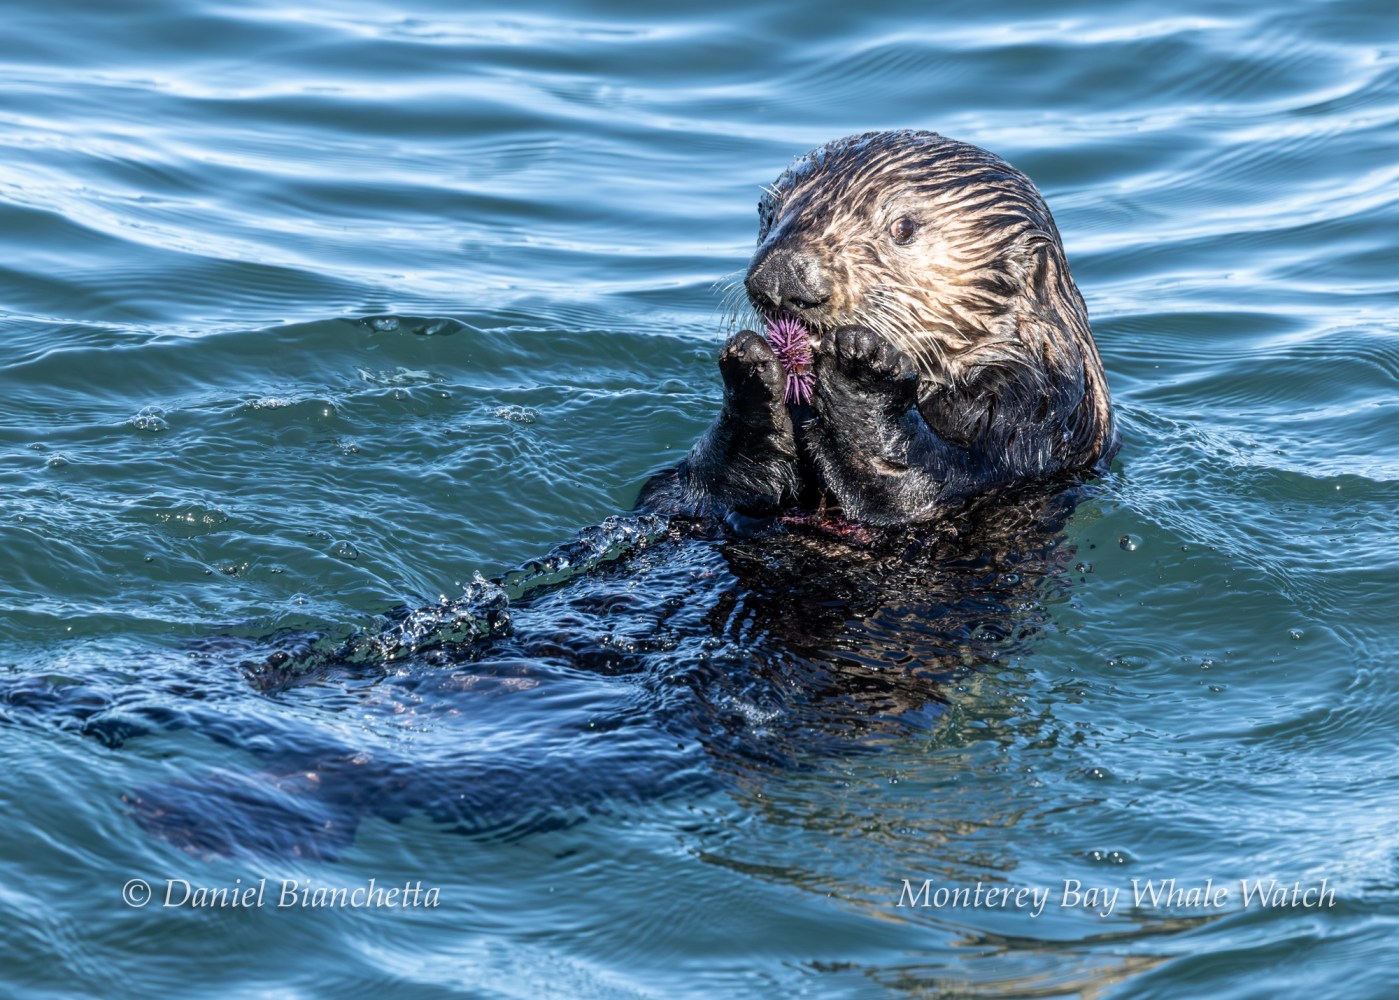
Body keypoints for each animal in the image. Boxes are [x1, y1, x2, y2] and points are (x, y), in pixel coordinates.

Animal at [639, 129, 1117, 527]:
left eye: (903, 227)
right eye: (770, 216)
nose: (779, 277)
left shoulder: (1035, 417)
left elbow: (923, 488)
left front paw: (861, 372)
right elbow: (693, 490)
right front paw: (749, 365)